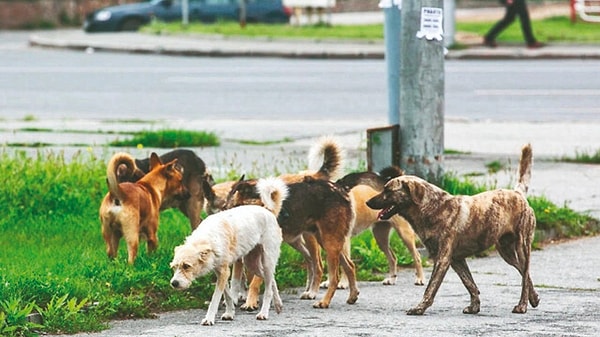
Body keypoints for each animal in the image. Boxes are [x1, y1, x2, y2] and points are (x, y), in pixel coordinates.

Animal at [170, 177, 288, 324]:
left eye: (186, 266)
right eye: (174, 267)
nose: (174, 283)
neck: (208, 239)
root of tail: (268, 211)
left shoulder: (224, 272)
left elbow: (216, 298)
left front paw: (209, 318)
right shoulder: (221, 272)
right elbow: (228, 295)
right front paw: (230, 313)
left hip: (266, 261)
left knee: (268, 289)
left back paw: (264, 313)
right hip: (252, 263)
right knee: (271, 280)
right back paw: (278, 304)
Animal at [366, 144, 540, 316]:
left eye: (388, 190)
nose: (367, 202)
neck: (432, 208)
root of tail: (517, 193)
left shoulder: (442, 259)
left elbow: (431, 288)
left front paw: (419, 308)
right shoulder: (456, 259)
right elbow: (469, 283)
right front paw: (474, 306)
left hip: (522, 246)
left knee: (525, 275)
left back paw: (522, 305)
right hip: (506, 251)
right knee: (525, 273)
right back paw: (534, 298)